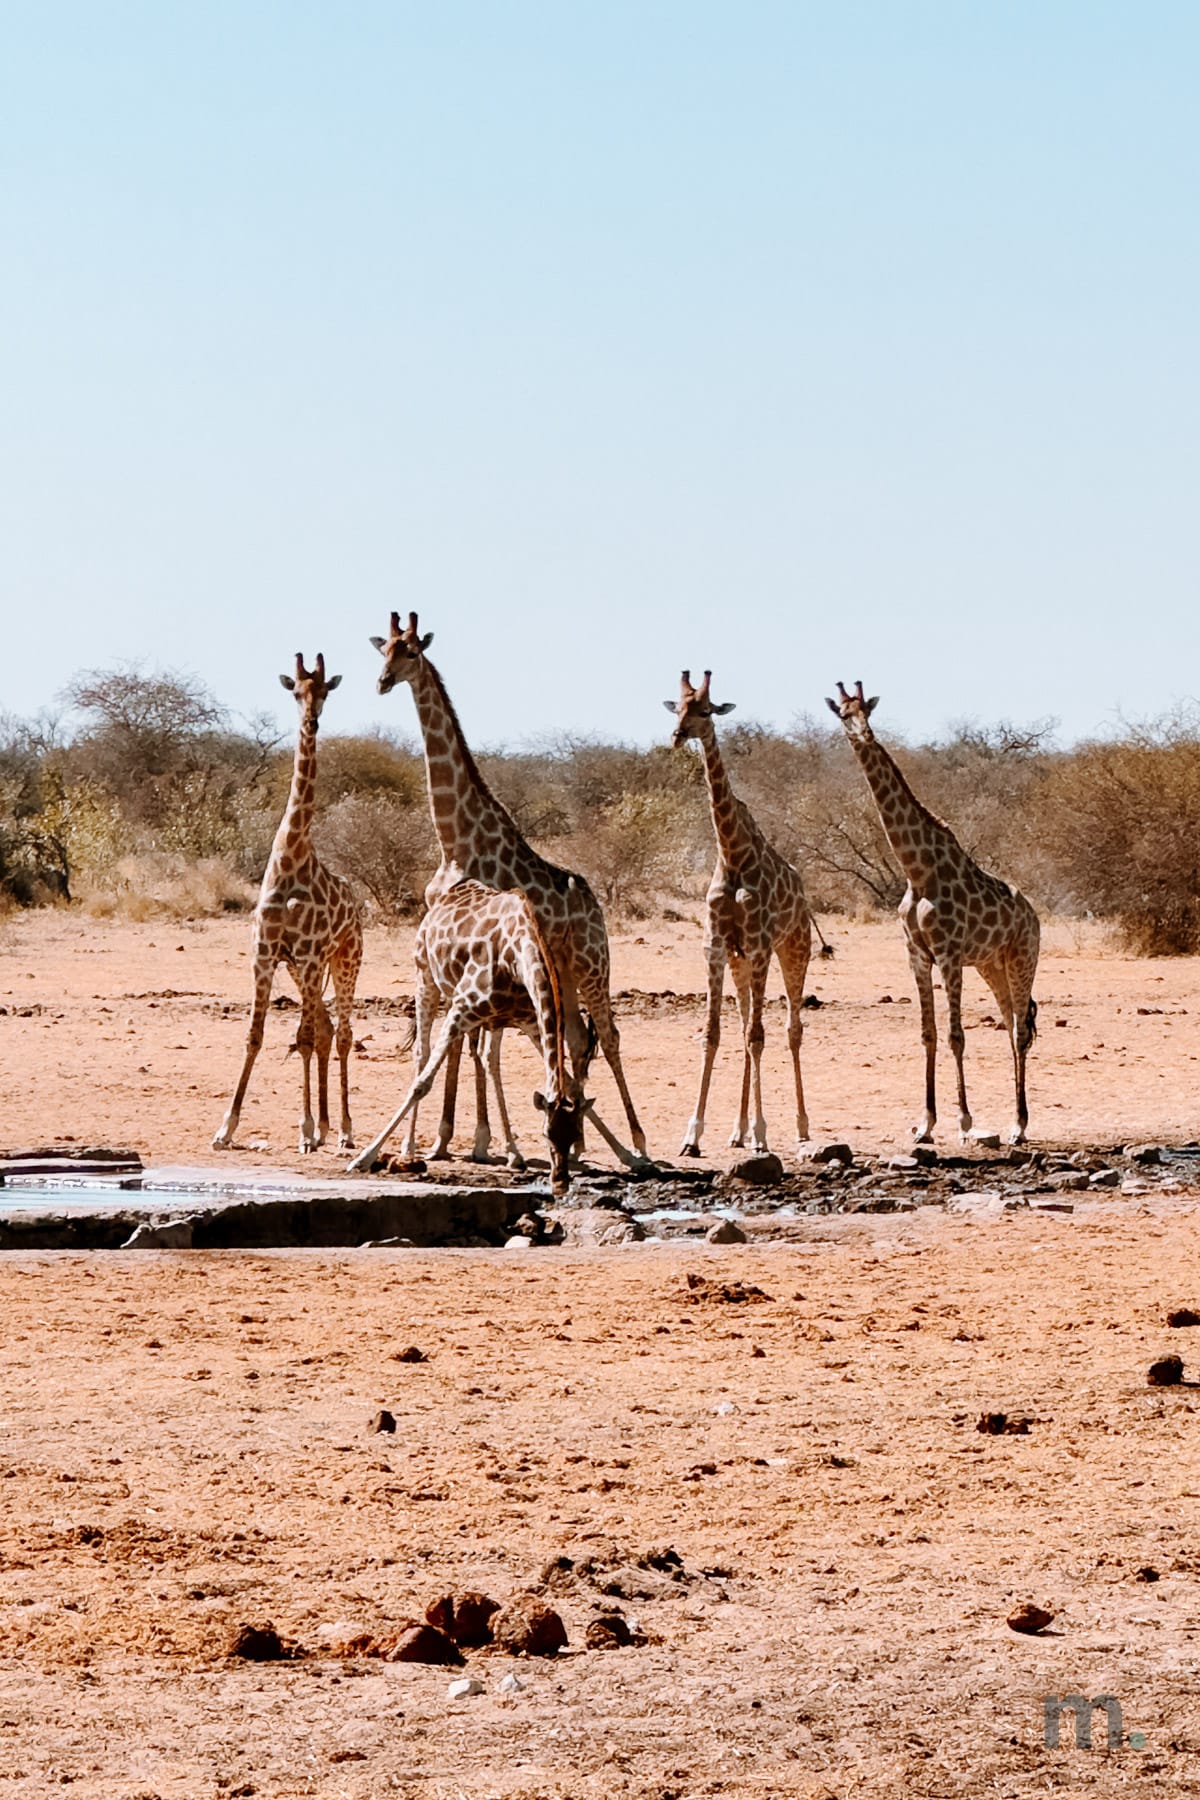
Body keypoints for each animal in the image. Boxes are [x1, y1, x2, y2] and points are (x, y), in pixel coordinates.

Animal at [213, 654, 363, 1154]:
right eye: (296, 691)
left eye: (325, 691)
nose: (311, 721)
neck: (291, 856)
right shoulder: (265, 955)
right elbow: (255, 1036)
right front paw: (226, 1128)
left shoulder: (311, 956)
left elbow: (302, 1036)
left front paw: (305, 1128)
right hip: (302, 971)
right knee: (327, 1028)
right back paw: (327, 1125)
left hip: (345, 960)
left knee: (340, 1033)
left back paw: (343, 1130)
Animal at [347, 881, 581, 1194]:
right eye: (545, 1134)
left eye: (573, 1135)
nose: (560, 1182)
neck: (517, 956)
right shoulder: (461, 1009)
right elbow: (422, 1085)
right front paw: (363, 1157)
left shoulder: (530, 1021)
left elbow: (568, 1080)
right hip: (426, 979)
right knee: (422, 1054)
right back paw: (409, 1148)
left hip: (468, 1008)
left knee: (476, 1056)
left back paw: (486, 1146)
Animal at [368, 611, 649, 1165]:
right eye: (382, 650)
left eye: (411, 652)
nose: (384, 681)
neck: (455, 839)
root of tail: (595, 905)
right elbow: (471, 1045)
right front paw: (450, 1139)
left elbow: (476, 1046)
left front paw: (470, 1138)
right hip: (563, 972)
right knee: (577, 1039)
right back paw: (580, 1142)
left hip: (592, 964)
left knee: (607, 1034)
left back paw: (636, 1144)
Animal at [665, 670, 814, 1157]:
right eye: (677, 706)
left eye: (705, 710)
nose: (677, 735)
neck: (731, 853)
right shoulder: (716, 946)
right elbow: (714, 1034)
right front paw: (692, 1134)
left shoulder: (762, 945)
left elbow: (758, 1036)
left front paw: (764, 1133)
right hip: (740, 961)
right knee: (749, 1022)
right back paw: (738, 1129)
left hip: (793, 950)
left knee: (790, 1029)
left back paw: (800, 1126)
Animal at [826, 680, 1040, 1144]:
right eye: (843, 714)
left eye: (867, 710)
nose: (864, 735)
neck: (916, 869)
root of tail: (1034, 915)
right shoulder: (917, 956)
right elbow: (928, 1034)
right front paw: (925, 1123)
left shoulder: (948, 953)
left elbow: (957, 1036)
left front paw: (964, 1121)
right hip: (992, 964)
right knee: (1012, 1022)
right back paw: (1013, 1120)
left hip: (1023, 958)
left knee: (1019, 1031)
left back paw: (1018, 1125)